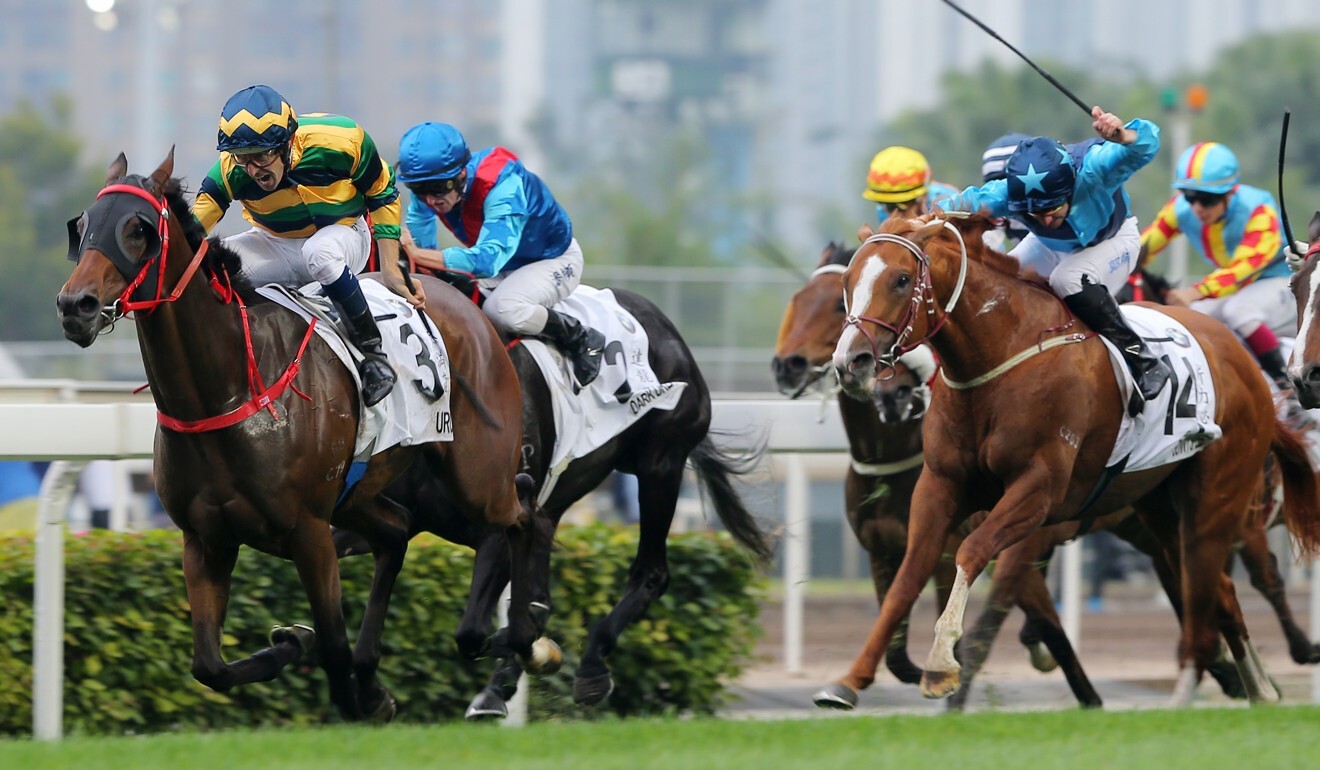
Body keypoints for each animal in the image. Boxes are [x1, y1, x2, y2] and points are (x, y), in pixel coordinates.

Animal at [55, 151, 551, 723]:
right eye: (83, 227)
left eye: (137, 230)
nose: (75, 305)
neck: (227, 391)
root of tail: (472, 309)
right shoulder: (204, 538)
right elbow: (209, 665)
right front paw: (297, 645)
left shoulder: (309, 532)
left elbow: (332, 646)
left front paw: (345, 687)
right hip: (359, 493)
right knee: (397, 531)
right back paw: (389, 669)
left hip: (474, 473)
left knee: (523, 511)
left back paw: (525, 632)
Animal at [366, 272, 770, 718]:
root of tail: (671, 333)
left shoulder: (498, 524)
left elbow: (476, 629)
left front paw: (527, 646)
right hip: (565, 491)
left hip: (660, 466)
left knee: (651, 572)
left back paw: (590, 665)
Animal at [828, 213, 1314, 707]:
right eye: (847, 283)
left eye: (902, 280)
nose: (851, 362)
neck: (1000, 356)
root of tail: (1246, 365)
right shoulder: (940, 483)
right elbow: (910, 574)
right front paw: (849, 680)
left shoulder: (1037, 491)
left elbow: (972, 551)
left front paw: (942, 664)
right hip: (1159, 506)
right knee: (1220, 590)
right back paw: (1258, 689)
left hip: (1217, 498)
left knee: (1213, 582)